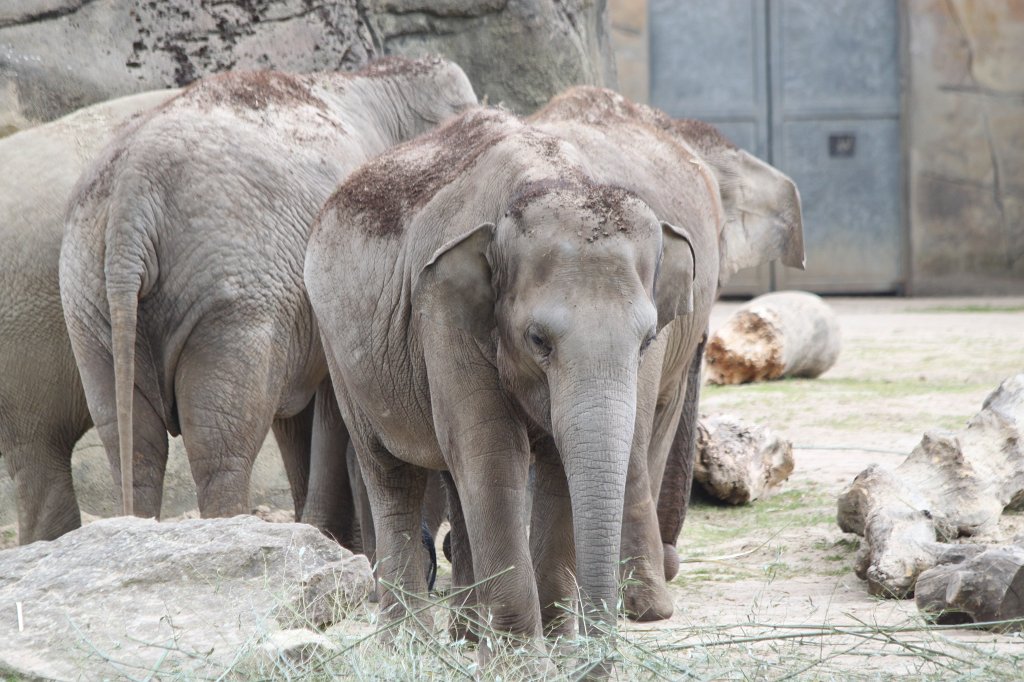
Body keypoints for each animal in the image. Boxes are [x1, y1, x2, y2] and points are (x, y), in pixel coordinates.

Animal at [59, 57, 477, 533]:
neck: (368, 78)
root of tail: (132, 195)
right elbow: (330, 408)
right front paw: (328, 533)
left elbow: (298, 418)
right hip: (234, 299)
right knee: (220, 445)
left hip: (89, 304)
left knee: (133, 442)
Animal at [304, 106, 701, 651]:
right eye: (538, 340)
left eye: (645, 342)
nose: (595, 656)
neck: (549, 178)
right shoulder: (442, 314)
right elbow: (492, 452)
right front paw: (524, 659)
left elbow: (551, 462)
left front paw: (558, 649)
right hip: (341, 351)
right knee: (391, 473)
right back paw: (410, 643)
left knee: (453, 474)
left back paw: (469, 635)